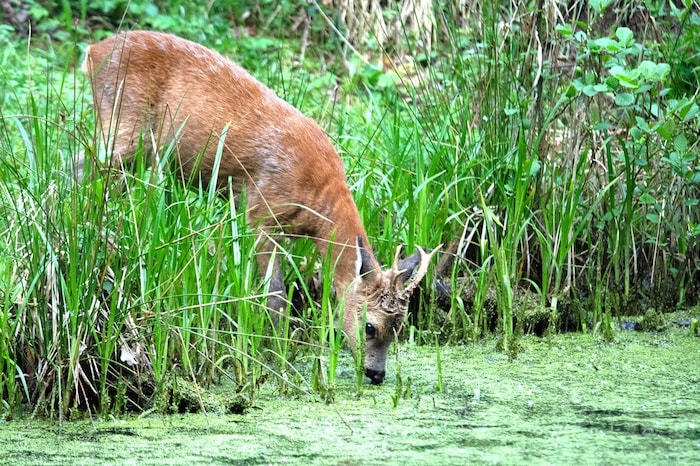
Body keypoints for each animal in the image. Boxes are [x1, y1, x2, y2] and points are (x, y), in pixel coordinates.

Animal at [80, 30, 439, 385]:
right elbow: (276, 295)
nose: (376, 374)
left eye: (400, 328)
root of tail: (93, 51)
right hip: (123, 126)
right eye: (369, 326)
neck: (317, 206)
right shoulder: (259, 211)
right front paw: (278, 355)